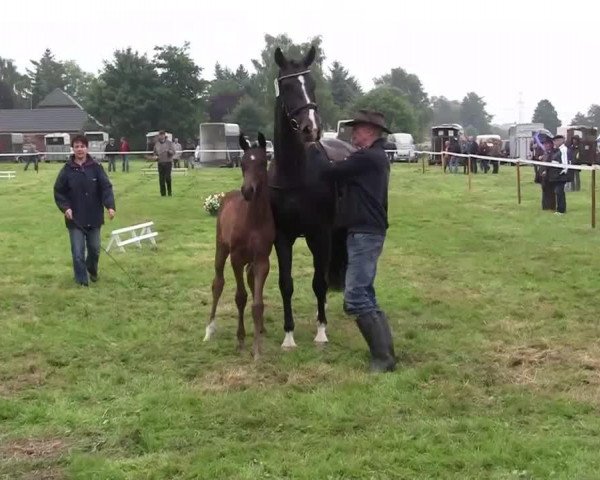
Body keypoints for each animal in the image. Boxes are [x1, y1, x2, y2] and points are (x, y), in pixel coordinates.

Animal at [204, 133, 274, 358]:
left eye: (262, 162)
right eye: (242, 163)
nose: (247, 191)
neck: (253, 220)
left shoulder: (262, 260)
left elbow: (257, 303)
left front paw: (257, 348)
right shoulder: (236, 258)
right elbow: (240, 297)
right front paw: (241, 339)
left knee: (251, 281)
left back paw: (261, 328)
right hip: (221, 249)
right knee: (217, 283)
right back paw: (209, 328)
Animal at [270, 46, 354, 348]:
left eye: (313, 84)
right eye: (287, 86)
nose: (311, 128)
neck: (295, 174)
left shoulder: (321, 233)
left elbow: (318, 282)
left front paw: (321, 332)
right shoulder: (282, 236)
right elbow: (286, 284)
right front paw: (288, 336)